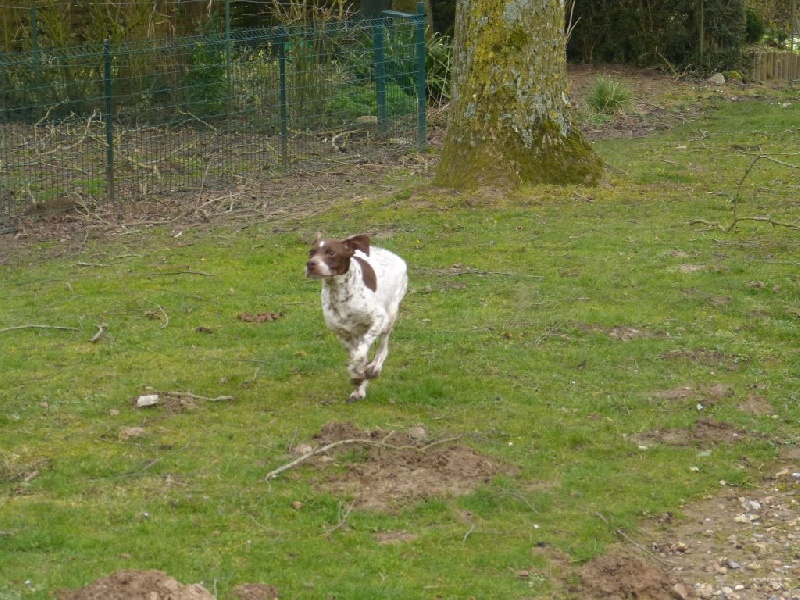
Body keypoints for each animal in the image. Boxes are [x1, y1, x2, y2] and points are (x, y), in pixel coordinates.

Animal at [304, 232, 410, 400]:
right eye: (311, 252)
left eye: (331, 252)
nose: (310, 264)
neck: (339, 294)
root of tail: (395, 256)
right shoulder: (343, 334)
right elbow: (357, 357)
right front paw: (358, 385)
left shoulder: (379, 320)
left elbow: (360, 353)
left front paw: (360, 375)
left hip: (390, 315)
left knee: (383, 346)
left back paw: (375, 367)